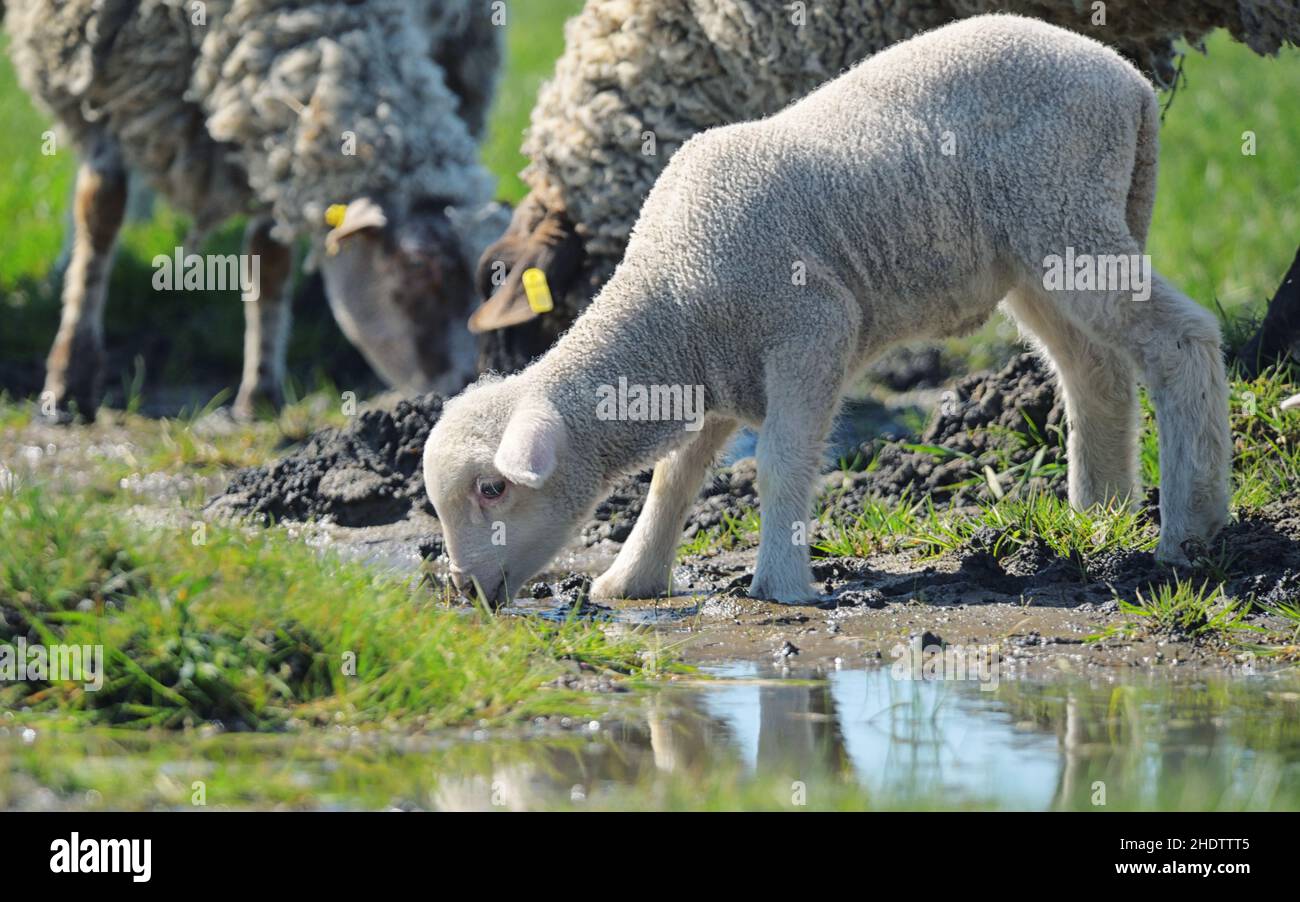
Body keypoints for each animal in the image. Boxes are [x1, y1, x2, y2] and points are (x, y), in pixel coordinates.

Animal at [6, 0, 503, 420]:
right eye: (418, 266)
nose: (466, 383)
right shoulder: (98, 67)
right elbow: (100, 215)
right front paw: (68, 380)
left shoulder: (263, 118)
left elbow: (269, 259)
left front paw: (260, 396)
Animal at [424, 15, 1232, 605]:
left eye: (493, 489)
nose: (465, 591)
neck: (670, 297)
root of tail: (1123, 78)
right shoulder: (718, 371)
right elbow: (674, 478)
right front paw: (634, 578)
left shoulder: (810, 329)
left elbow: (780, 462)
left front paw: (781, 585)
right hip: (1039, 251)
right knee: (1095, 368)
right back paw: (1099, 515)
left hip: (1066, 216)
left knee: (1182, 341)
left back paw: (1190, 529)